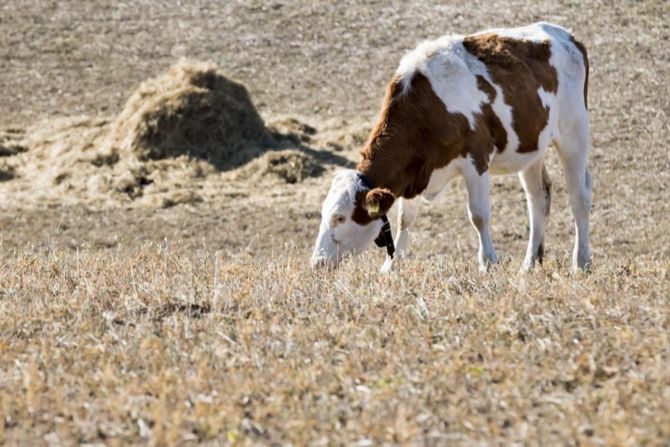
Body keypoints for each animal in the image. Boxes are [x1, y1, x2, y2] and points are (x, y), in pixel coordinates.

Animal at [311, 22, 592, 273]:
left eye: (340, 217)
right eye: (323, 214)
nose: (317, 263)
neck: (426, 105)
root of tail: (567, 36)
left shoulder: (476, 159)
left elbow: (478, 215)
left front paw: (488, 262)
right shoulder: (412, 172)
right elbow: (405, 220)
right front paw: (391, 266)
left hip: (574, 132)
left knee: (579, 196)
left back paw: (581, 263)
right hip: (531, 147)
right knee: (538, 198)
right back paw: (529, 265)